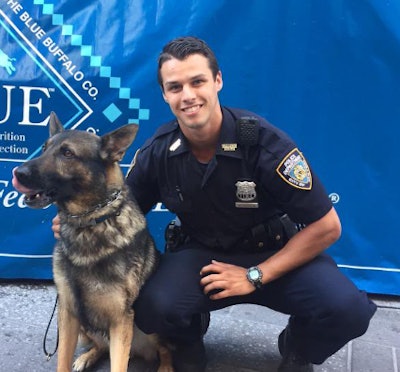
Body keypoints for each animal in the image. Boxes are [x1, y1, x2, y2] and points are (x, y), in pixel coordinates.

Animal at [12, 112, 172, 372]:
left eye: (67, 153)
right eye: (45, 148)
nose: (18, 172)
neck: (89, 223)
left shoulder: (120, 320)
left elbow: (119, 365)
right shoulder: (68, 313)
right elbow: (62, 361)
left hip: (152, 329)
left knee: (165, 350)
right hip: (85, 326)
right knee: (100, 346)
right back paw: (86, 357)